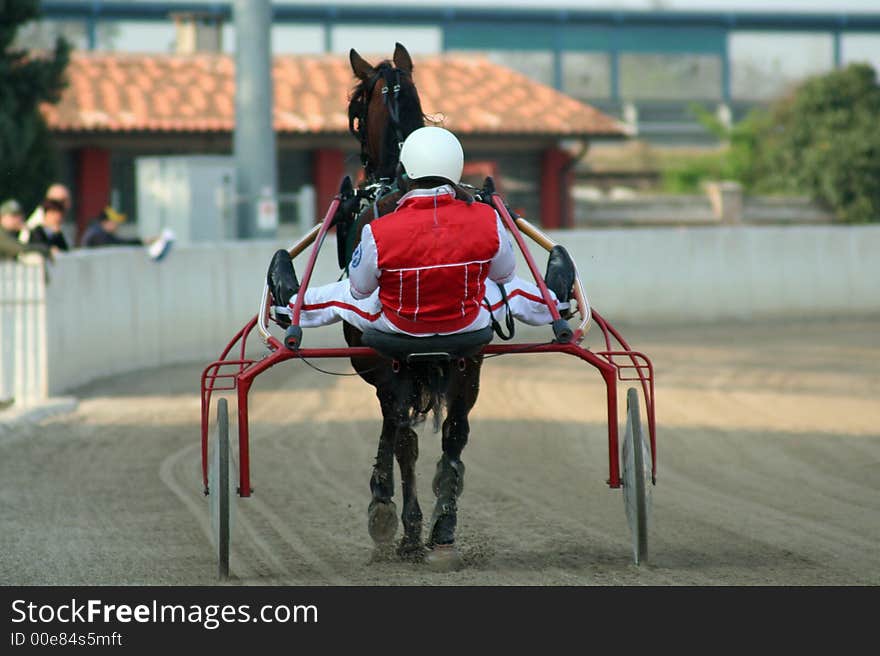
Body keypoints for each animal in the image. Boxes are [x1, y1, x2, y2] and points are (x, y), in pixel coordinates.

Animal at [336, 44, 488, 568]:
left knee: (406, 435)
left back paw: (411, 528)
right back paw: (443, 525)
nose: (361, 162)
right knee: (456, 431)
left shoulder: (374, 357)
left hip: (387, 357)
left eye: (356, 110)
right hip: (469, 362)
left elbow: (392, 425)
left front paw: (381, 502)